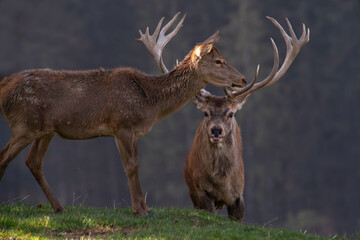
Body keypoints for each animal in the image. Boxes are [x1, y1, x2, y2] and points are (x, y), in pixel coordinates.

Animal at [0, 12, 248, 216]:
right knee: (5, 156)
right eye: (219, 61)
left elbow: (133, 165)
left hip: (45, 130)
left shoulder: (126, 132)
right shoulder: (123, 125)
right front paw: (140, 210)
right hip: (24, 124)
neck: (150, 103)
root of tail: (4, 87)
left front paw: (144, 207)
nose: (243, 79)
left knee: (33, 162)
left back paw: (59, 207)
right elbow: (132, 166)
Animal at [141, 15, 310, 221]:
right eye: (205, 113)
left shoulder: (239, 196)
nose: (216, 130)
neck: (222, 184)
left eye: (231, 113)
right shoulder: (201, 192)